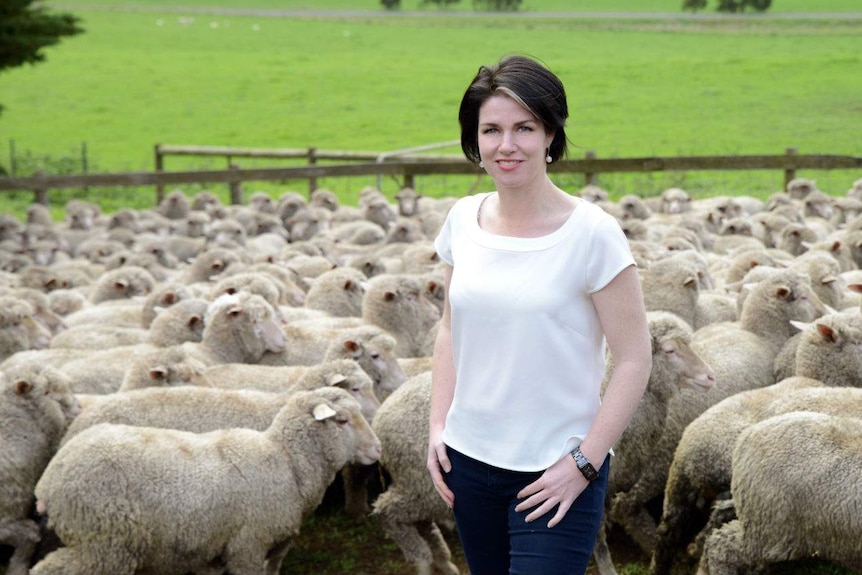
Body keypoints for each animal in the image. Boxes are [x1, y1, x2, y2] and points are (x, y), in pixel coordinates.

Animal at [31, 388, 382, 575]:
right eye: (342, 420)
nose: (378, 448)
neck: (287, 461)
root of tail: (49, 478)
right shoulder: (248, 545)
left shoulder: (245, 548)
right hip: (104, 542)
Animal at [372, 374, 462, 575]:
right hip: (423, 485)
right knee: (387, 510)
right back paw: (423, 560)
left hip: (420, 487)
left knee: (423, 523)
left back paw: (444, 562)